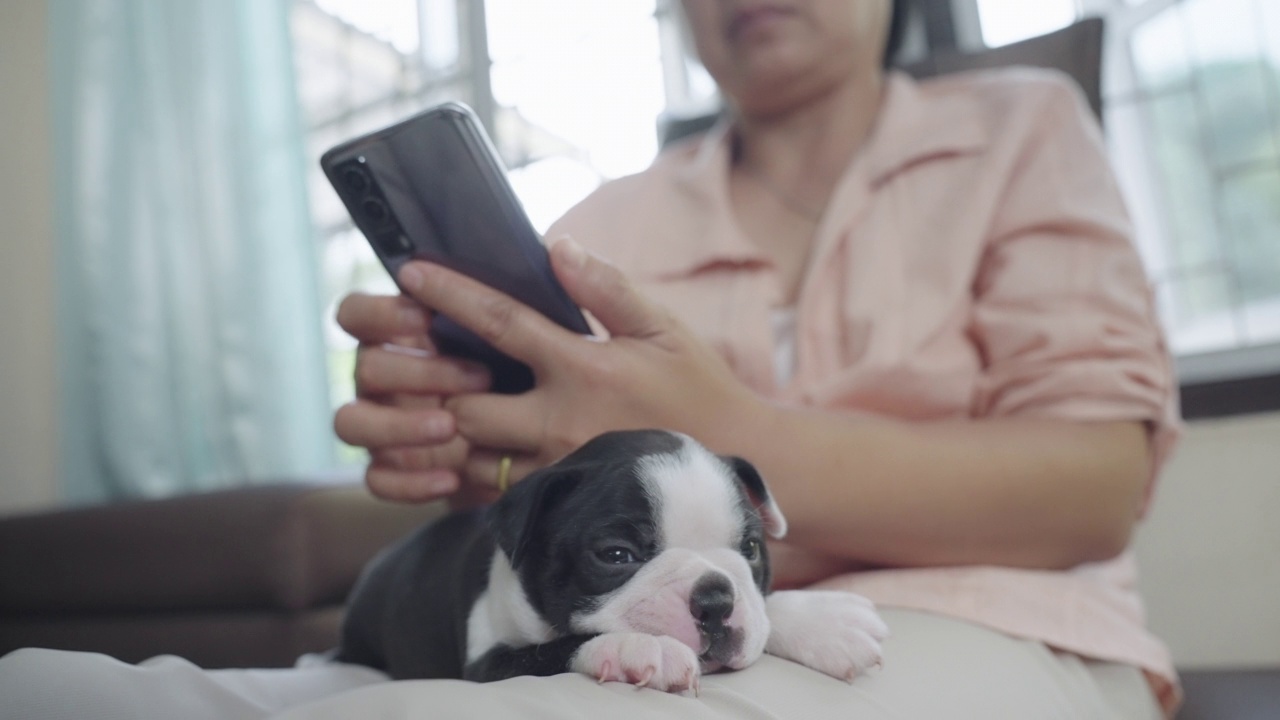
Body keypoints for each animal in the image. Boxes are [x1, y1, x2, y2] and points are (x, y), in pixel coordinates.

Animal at [335, 425, 885, 691]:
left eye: (750, 549)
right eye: (617, 555)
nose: (713, 600)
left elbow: (764, 609)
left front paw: (823, 621)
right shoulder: (489, 663)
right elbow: (557, 647)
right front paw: (637, 647)